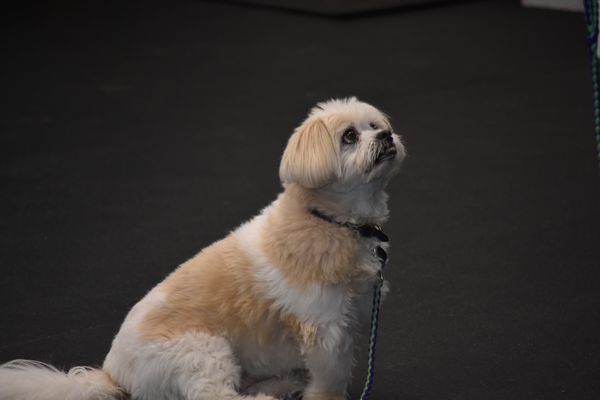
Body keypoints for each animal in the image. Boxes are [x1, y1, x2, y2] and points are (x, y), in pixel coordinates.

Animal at [0, 97, 406, 400]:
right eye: (349, 136)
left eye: (375, 125)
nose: (387, 134)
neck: (330, 221)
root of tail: (114, 373)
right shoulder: (325, 329)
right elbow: (330, 379)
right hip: (203, 351)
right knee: (216, 395)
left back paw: (284, 382)